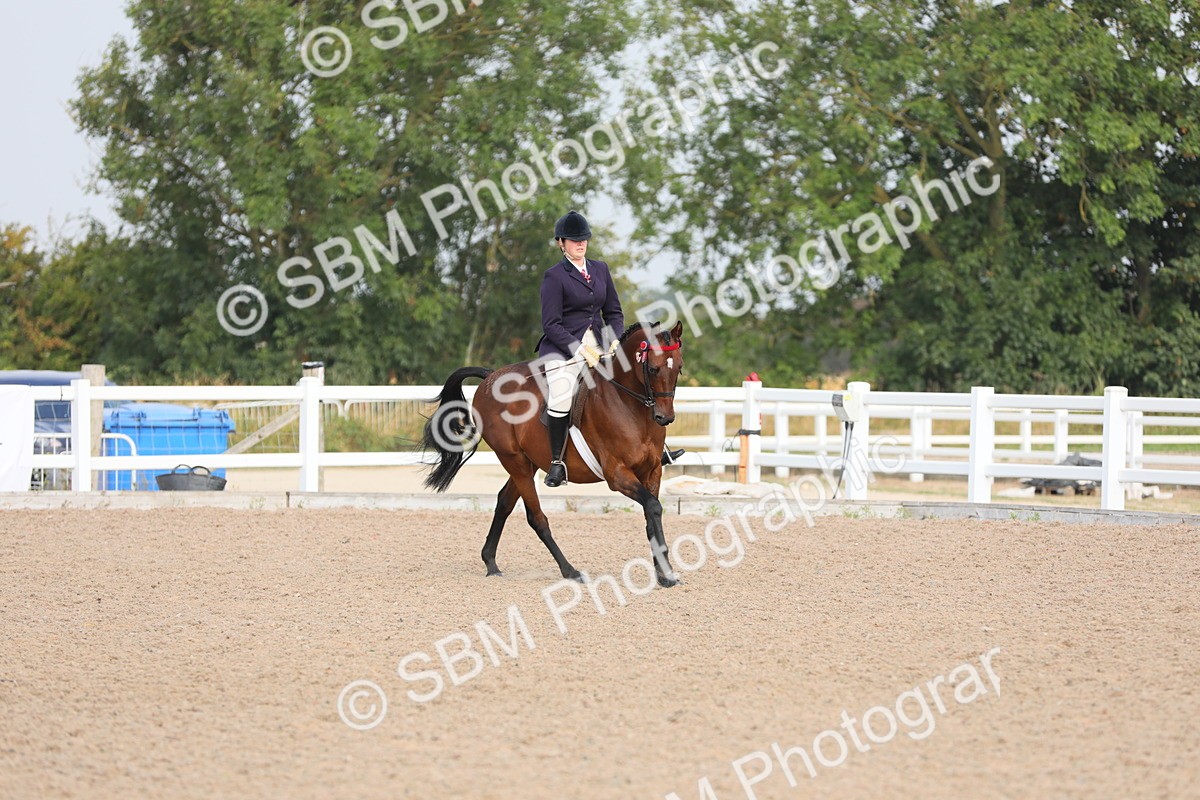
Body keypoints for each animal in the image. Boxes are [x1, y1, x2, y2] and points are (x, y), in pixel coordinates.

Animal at [421, 320, 685, 587]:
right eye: (653, 368)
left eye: (679, 368)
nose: (665, 418)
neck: (628, 404)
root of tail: (491, 377)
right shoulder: (617, 474)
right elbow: (653, 507)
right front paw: (666, 574)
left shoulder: (653, 471)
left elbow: (651, 514)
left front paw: (664, 573)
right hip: (514, 461)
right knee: (536, 517)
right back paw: (570, 571)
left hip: (529, 463)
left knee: (504, 502)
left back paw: (491, 564)